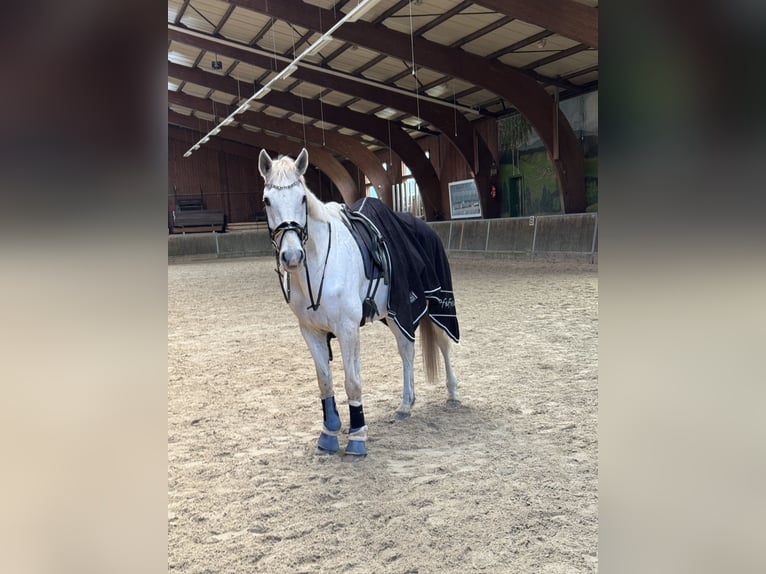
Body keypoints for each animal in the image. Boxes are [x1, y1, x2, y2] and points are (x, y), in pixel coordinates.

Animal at [257, 147, 460, 457]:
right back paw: (406, 404)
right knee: (407, 351)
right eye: (267, 200)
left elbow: (352, 382)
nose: (292, 256)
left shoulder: (348, 329)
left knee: (443, 343)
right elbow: (325, 381)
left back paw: (452, 392)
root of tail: (426, 227)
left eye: (302, 198)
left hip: (432, 305)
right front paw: (329, 433)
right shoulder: (311, 331)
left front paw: (357, 438)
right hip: (394, 315)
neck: (319, 265)